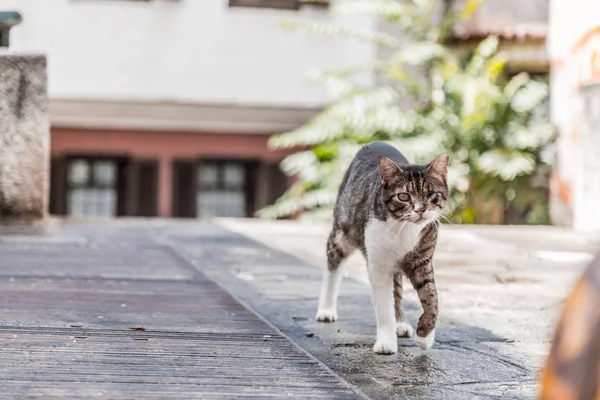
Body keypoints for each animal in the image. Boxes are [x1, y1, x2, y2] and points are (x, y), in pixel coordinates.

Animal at [316, 141, 448, 354]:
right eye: (404, 196)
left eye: (431, 195)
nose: (420, 209)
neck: (404, 228)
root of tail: (375, 142)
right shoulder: (378, 266)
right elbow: (384, 306)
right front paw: (386, 342)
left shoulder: (422, 262)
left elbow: (432, 298)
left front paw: (425, 336)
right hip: (341, 234)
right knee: (333, 266)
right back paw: (326, 309)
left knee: (397, 290)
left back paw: (400, 322)